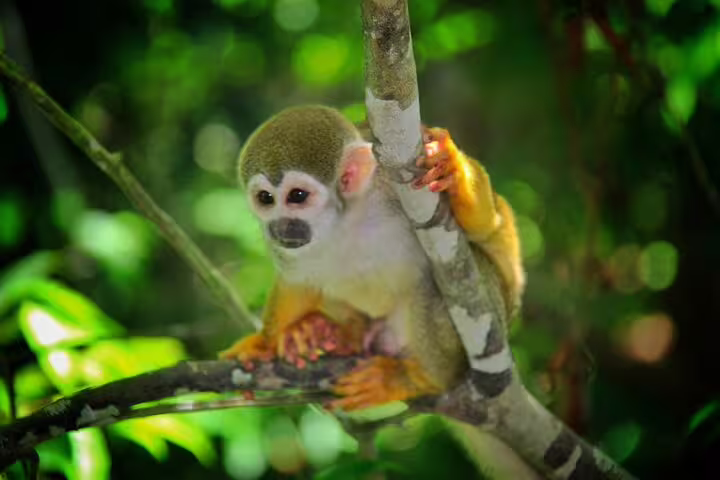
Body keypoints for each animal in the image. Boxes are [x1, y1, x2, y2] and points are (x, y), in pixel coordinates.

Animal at [220, 105, 524, 411]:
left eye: (297, 196)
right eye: (265, 198)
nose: (279, 227)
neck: (346, 216)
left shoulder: (396, 185)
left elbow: (487, 227)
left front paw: (451, 168)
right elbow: (295, 281)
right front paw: (263, 344)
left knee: (445, 283)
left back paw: (421, 379)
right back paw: (328, 333)